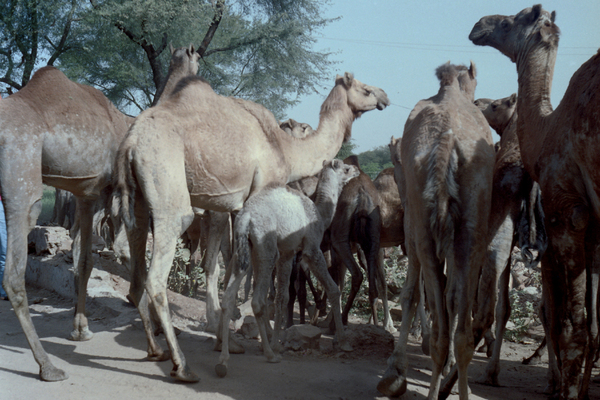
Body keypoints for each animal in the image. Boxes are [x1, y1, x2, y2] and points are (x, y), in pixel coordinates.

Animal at [214, 158, 358, 376]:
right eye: (346, 168)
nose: (357, 171)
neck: (320, 214)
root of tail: (246, 217)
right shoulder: (310, 248)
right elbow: (333, 289)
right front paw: (343, 342)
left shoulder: (288, 252)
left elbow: (283, 297)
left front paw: (277, 343)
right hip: (266, 247)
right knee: (257, 301)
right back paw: (269, 355)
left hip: (245, 249)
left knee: (229, 296)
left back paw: (223, 361)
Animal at [378, 60, 494, 400]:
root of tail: (447, 143)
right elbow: (441, 296)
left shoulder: (415, 230)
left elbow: (415, 294)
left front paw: (395, 370)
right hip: (469, 229)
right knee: (459, 322)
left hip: (428, 228)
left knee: (438, 306)